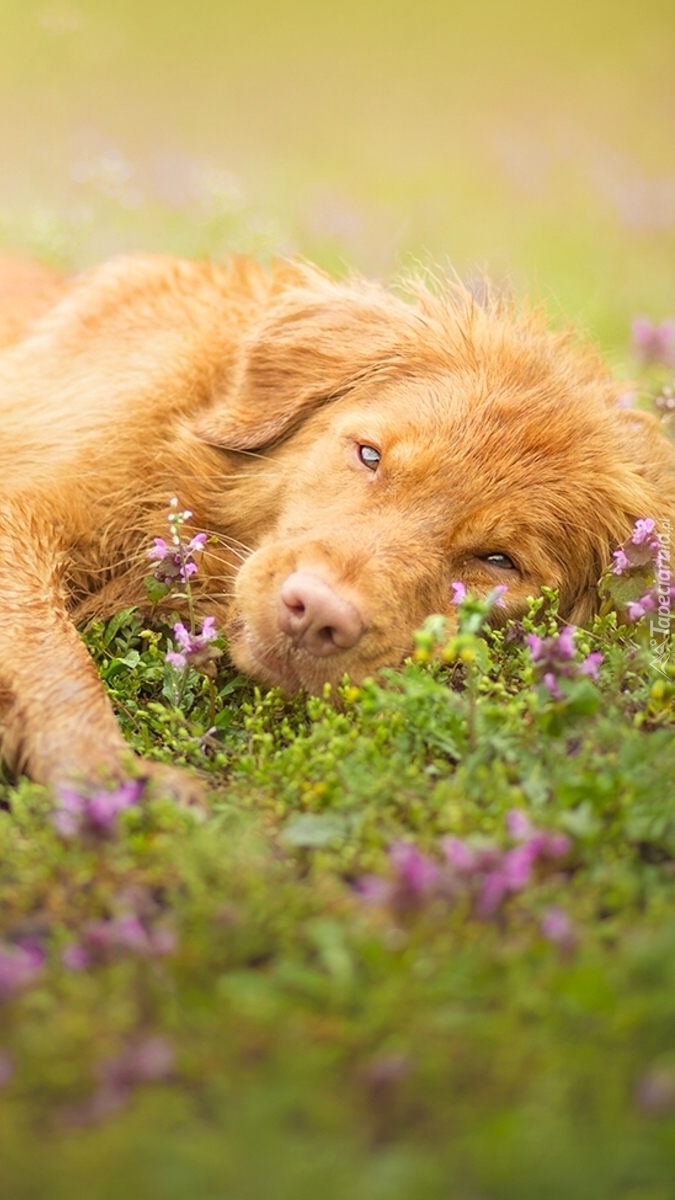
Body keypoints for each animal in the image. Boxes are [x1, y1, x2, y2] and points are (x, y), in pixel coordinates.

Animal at [0, 252, 667, 796]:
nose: (317, 614)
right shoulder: (25, 506)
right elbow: (58, 658)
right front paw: (107, 774)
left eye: (498, 561)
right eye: (369, 454)